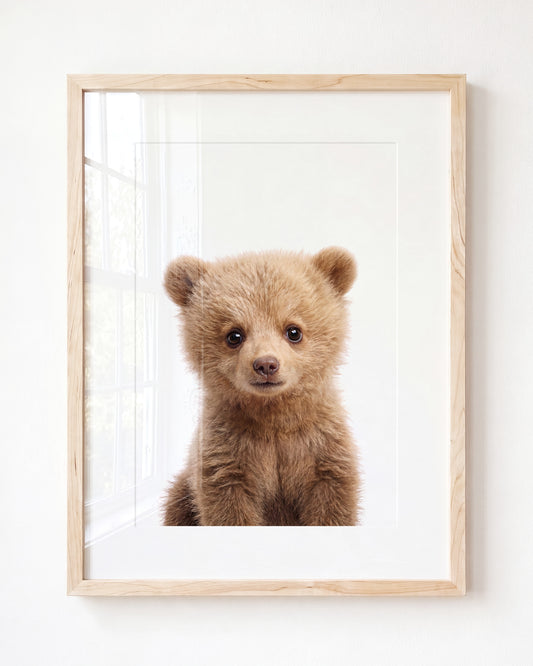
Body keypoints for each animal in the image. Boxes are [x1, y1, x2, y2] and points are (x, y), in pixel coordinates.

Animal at [162, 246, 361, 526]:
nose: (266, 364)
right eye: (234, 335)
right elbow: (229, 509)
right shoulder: (227, 455)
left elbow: (332, 504)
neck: (273, 416)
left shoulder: (321, 448)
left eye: (293, 331)